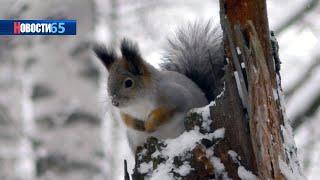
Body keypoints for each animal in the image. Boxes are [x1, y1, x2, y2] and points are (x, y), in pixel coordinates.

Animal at [92, 21, 225, 151]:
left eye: (128, 83)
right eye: (108, 81)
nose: (114, 102)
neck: (139, 103)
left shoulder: (175, 96)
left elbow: (164, 111)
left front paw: (149, 124)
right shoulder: (125, 112)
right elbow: (126, 119)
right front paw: (138, 125)